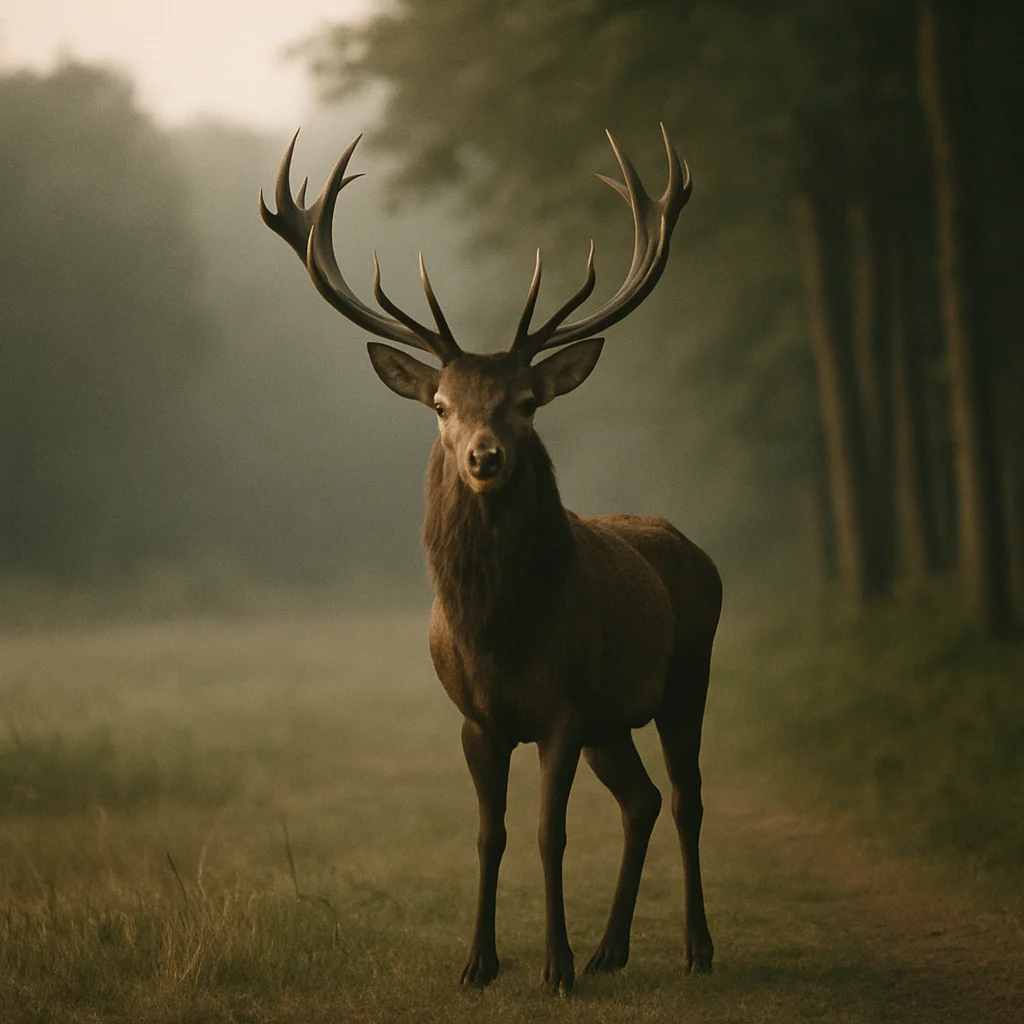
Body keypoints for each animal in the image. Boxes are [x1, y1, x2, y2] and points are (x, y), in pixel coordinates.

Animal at [259, 125, 722, 994]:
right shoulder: (479, 719)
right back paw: (613, 950)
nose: (485, 458)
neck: (498, 634)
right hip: (614, 717)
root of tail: (698, 550)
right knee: (641, 800)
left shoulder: (561, 710)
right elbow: (489, 835)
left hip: (688, 673)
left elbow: (549, 835)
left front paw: (555, 966)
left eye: (526, 402)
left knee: (685, 797)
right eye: (442, 404)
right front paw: (478, 961)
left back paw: (696, 948)